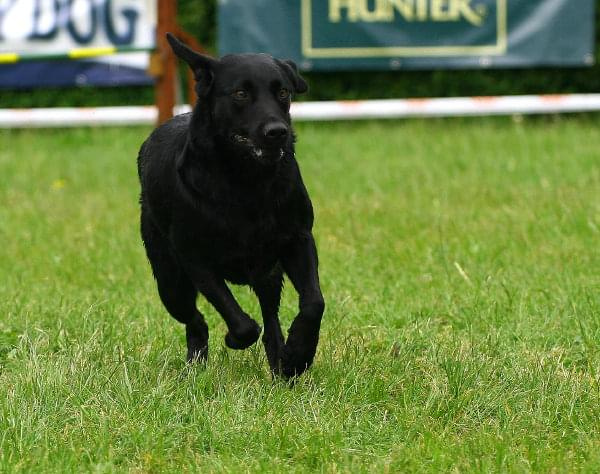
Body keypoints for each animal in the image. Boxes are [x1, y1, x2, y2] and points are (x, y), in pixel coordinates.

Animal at [137, 34, 324, 378]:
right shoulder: (195, 258)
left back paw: (282, 360)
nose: (277, 132)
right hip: (170, 281)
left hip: (269, 274)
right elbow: (241, 322)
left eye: (282, 91)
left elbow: (314, 303)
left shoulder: (298, 239)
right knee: (194, 320)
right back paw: (196, 363)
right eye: (240, 93)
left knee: (270, 319)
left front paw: (300, 352)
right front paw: (236, 339)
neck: (247, 183)